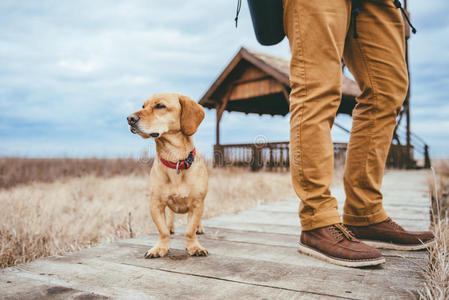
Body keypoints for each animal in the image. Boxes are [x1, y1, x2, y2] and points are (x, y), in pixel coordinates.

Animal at [127, 93, 207, 258]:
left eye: (160, 106)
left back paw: (199, 227)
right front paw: (160, 247)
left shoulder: (197, 204)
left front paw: (194, 246)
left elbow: (190, 230)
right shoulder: (156, 204)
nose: (129, 118)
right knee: (170, 215)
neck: (174, 161)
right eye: (143, 106)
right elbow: (162, 231)